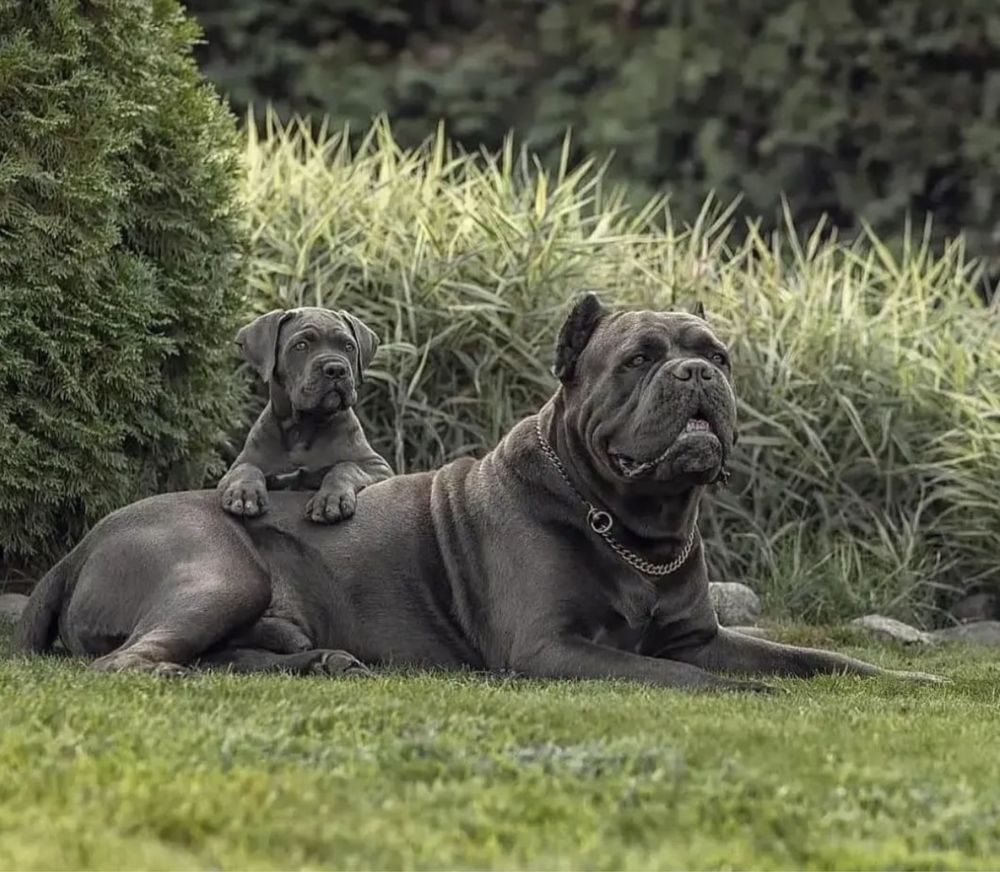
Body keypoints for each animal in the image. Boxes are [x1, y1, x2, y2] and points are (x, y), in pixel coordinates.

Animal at [219, 308, 394, 524]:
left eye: (349, 346)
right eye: (301, 345)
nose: (336, 369)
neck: (303, 426)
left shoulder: (377, 467)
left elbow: (346, 467)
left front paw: (331, 499)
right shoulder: (234, 470)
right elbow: (247, 468)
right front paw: (244, 492)